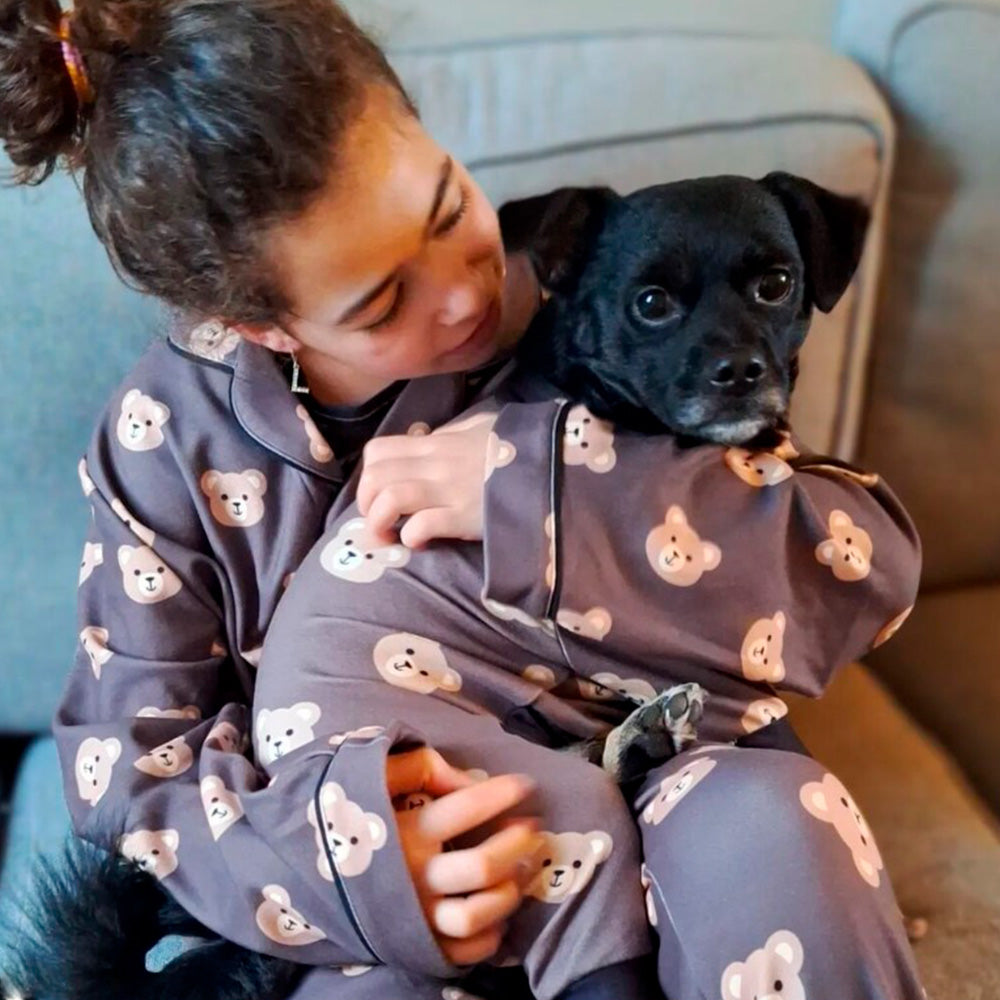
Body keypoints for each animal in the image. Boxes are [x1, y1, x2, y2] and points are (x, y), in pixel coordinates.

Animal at [3, 172, 868, 1000]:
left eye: (776, 284)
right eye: (651, 304)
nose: (740, 373)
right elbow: (759, 710)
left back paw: (639, 738)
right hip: (542, 816)